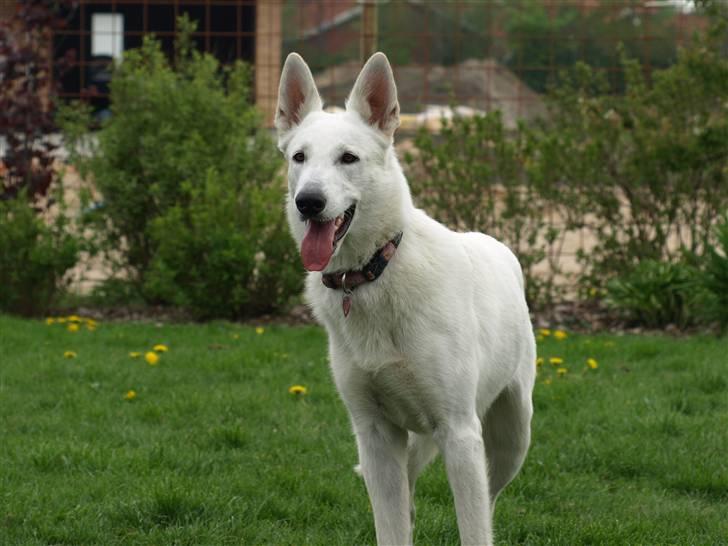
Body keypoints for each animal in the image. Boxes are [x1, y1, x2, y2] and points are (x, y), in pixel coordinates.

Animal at [272, 52, 536, 544]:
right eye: (299, 157)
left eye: (348, 158)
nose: (308, 202)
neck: (374, 273)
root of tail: (494, 243)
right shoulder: (375, 435)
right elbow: (391, 526)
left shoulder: (459, 433)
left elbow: (474, 527)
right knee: (409, 495)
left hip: (512, 435)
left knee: (489, 500)